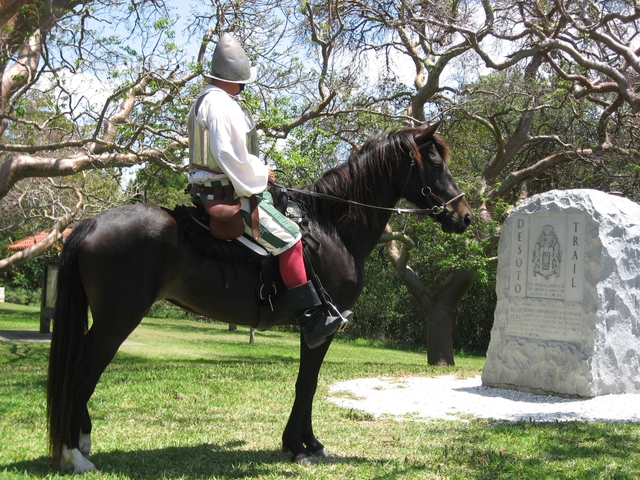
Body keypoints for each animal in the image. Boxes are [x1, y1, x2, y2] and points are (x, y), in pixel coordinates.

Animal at [47, 124, 472, 472]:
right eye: (435, 163)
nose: (465, 216)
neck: (332, 228)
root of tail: (93, 223)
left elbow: (307, 383)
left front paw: (305, 443)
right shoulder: (321, 328)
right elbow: (307, 384)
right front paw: (300, 447)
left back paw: (81, 443)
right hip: (116, 321)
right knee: (82, 375)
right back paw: (74, 455)